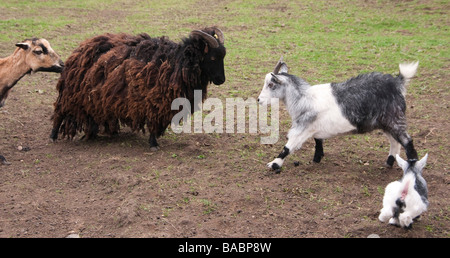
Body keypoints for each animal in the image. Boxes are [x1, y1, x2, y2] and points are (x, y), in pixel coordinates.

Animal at [51, 26, 227, 149]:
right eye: (212, 57)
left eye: (223, 56)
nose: (221, 80)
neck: (178, 62)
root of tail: (81, 47)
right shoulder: (154, 101)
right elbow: (154, 121)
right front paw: (153, 143)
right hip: (70, 94)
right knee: (59, 113)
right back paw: (53, 136)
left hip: (93, 97)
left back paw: (95, 133)